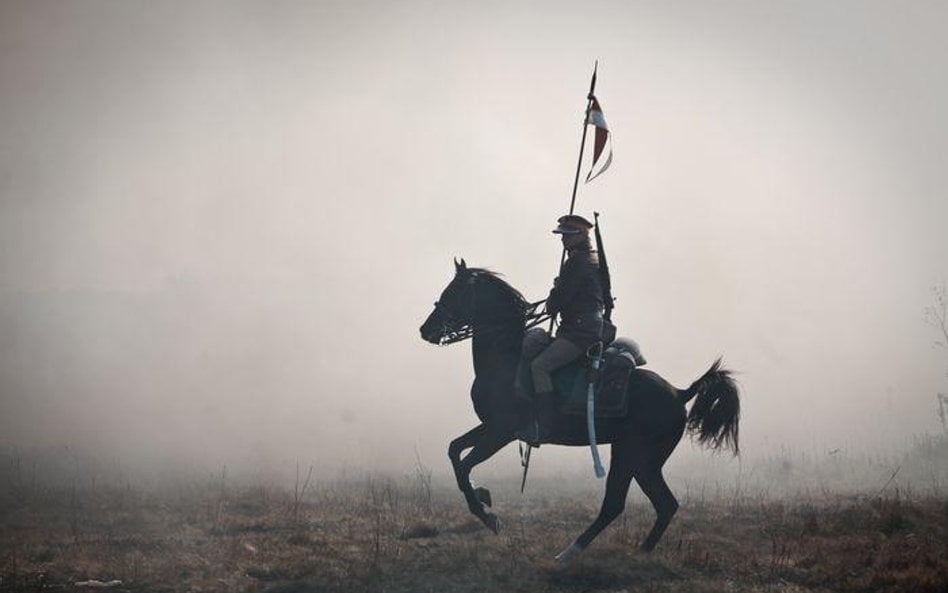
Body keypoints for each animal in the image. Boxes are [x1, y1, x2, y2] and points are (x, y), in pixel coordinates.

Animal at [416, 258, 740, 560]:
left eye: (454, 292)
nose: (425, 330)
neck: (505, 357)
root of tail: (679, 392)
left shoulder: (502, 432)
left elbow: (464, 465)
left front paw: (488, 515)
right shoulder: (491, 428)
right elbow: (454, 451)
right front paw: (483, 495)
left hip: (637, 457)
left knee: (624, 504)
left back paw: (571, 553)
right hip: (636, 458)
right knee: (658, 504)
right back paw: (635, 552)